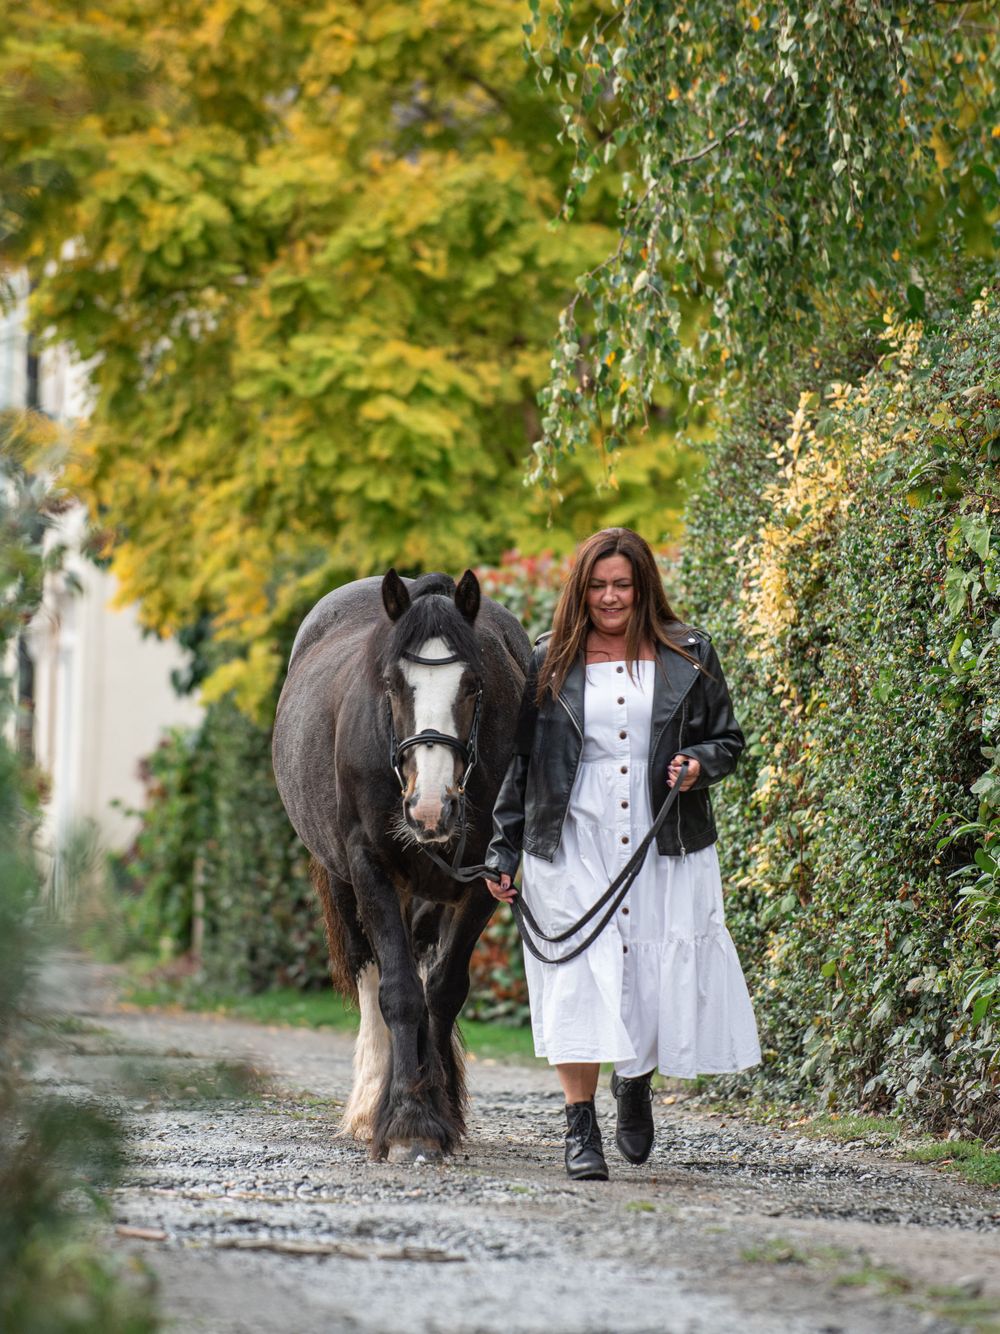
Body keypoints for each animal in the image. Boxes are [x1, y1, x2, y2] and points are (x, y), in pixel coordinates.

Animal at [272, 568, 530, 1162]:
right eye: (391, 683)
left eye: (474, 684)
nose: (430, 807)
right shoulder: (370, 868)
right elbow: (398, 992)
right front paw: (409, 1119)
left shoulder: (483, 881)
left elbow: (443, 991)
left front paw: (434, 1110)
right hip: (345, 882)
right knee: (372, 973)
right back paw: (372, 1104)